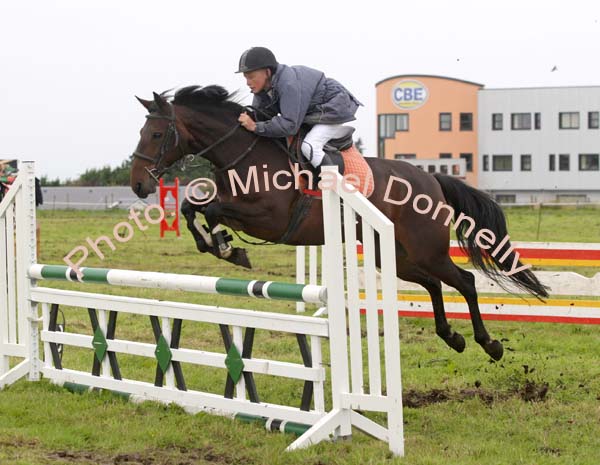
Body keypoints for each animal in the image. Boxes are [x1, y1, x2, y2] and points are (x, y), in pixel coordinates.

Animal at [130, 85, 548, 360]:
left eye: (156, 133)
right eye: (141, 132)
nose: (138, 184)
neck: (244, 152)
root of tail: (432, 178)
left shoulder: (268, 219)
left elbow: (213, 212)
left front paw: (229, 250)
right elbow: (192, 207)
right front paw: (220, 247)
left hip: (427, 249)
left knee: (465, 281)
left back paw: (488, 344)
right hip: (392, 253)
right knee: (432, 284)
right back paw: (451, 336)